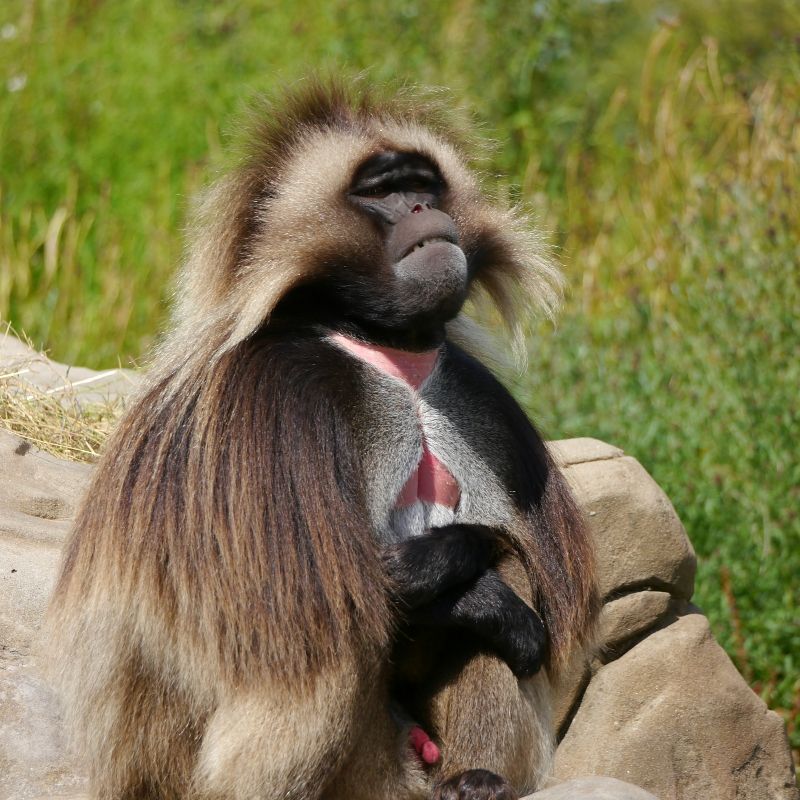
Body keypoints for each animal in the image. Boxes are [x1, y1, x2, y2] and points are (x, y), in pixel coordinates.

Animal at [46, 79, 598, 800]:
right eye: (381, 190)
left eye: (423, 184)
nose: (422, 208)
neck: (385, 346)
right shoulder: (277, 403)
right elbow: (369, 582)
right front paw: (484, 592)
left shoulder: (477, 400)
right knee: (329, 629)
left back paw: (477, 780)